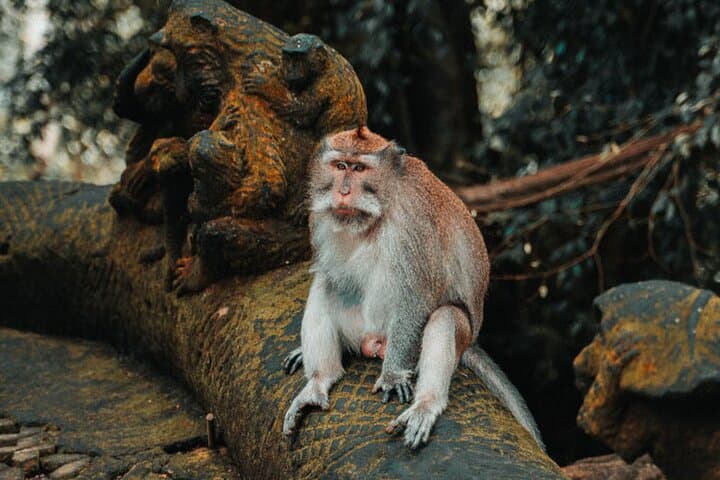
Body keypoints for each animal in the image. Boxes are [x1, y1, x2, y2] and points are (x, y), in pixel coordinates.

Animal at [283, 126, 544, 450]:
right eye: (340, 166)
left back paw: (426, 404)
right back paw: (319, 382)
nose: (342, 192)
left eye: (359, 169)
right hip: (359, 329)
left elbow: (417, 296)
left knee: (445, 317)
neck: (376, 211)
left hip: (430, 338)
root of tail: (373, 342)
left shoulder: (414, 220)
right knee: (325, 284)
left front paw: (393, 376)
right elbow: (329, 274)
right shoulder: (319, 218)